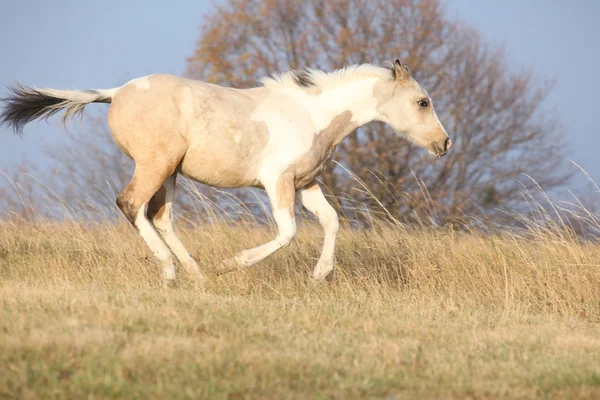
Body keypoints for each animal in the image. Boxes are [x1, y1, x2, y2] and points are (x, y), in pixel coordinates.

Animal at [0, 61, 450, 282]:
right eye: (423, 102)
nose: (445, 144)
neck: (312, 115)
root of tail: (116, 94)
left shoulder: (306, 183)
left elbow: (332, 221)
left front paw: (320, 275)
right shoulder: (278, 182)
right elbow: (288, 232)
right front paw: (232, 264)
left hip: (170, 172)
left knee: (159, 215)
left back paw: (196, 275)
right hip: (156, 164)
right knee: (130, 204)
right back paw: (171, 271)